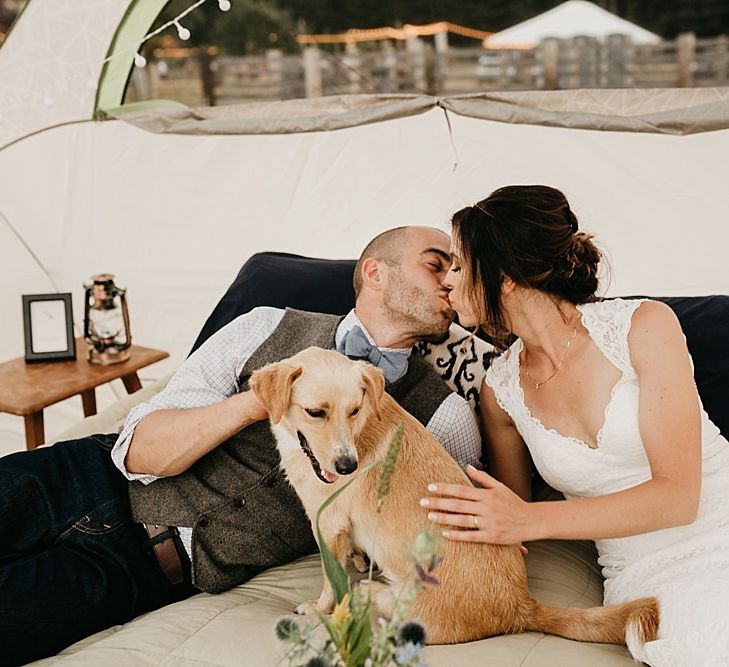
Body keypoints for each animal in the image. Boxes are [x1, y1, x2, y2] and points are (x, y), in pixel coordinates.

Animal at [250, 348, 660, 648]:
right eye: (315, 412)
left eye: (354, 410)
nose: (348, 466)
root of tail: (521, 607)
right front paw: (356, 557)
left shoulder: (328, 525)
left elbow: (328, 579)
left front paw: (316, 608)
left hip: (401, 604)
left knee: (369, 594)